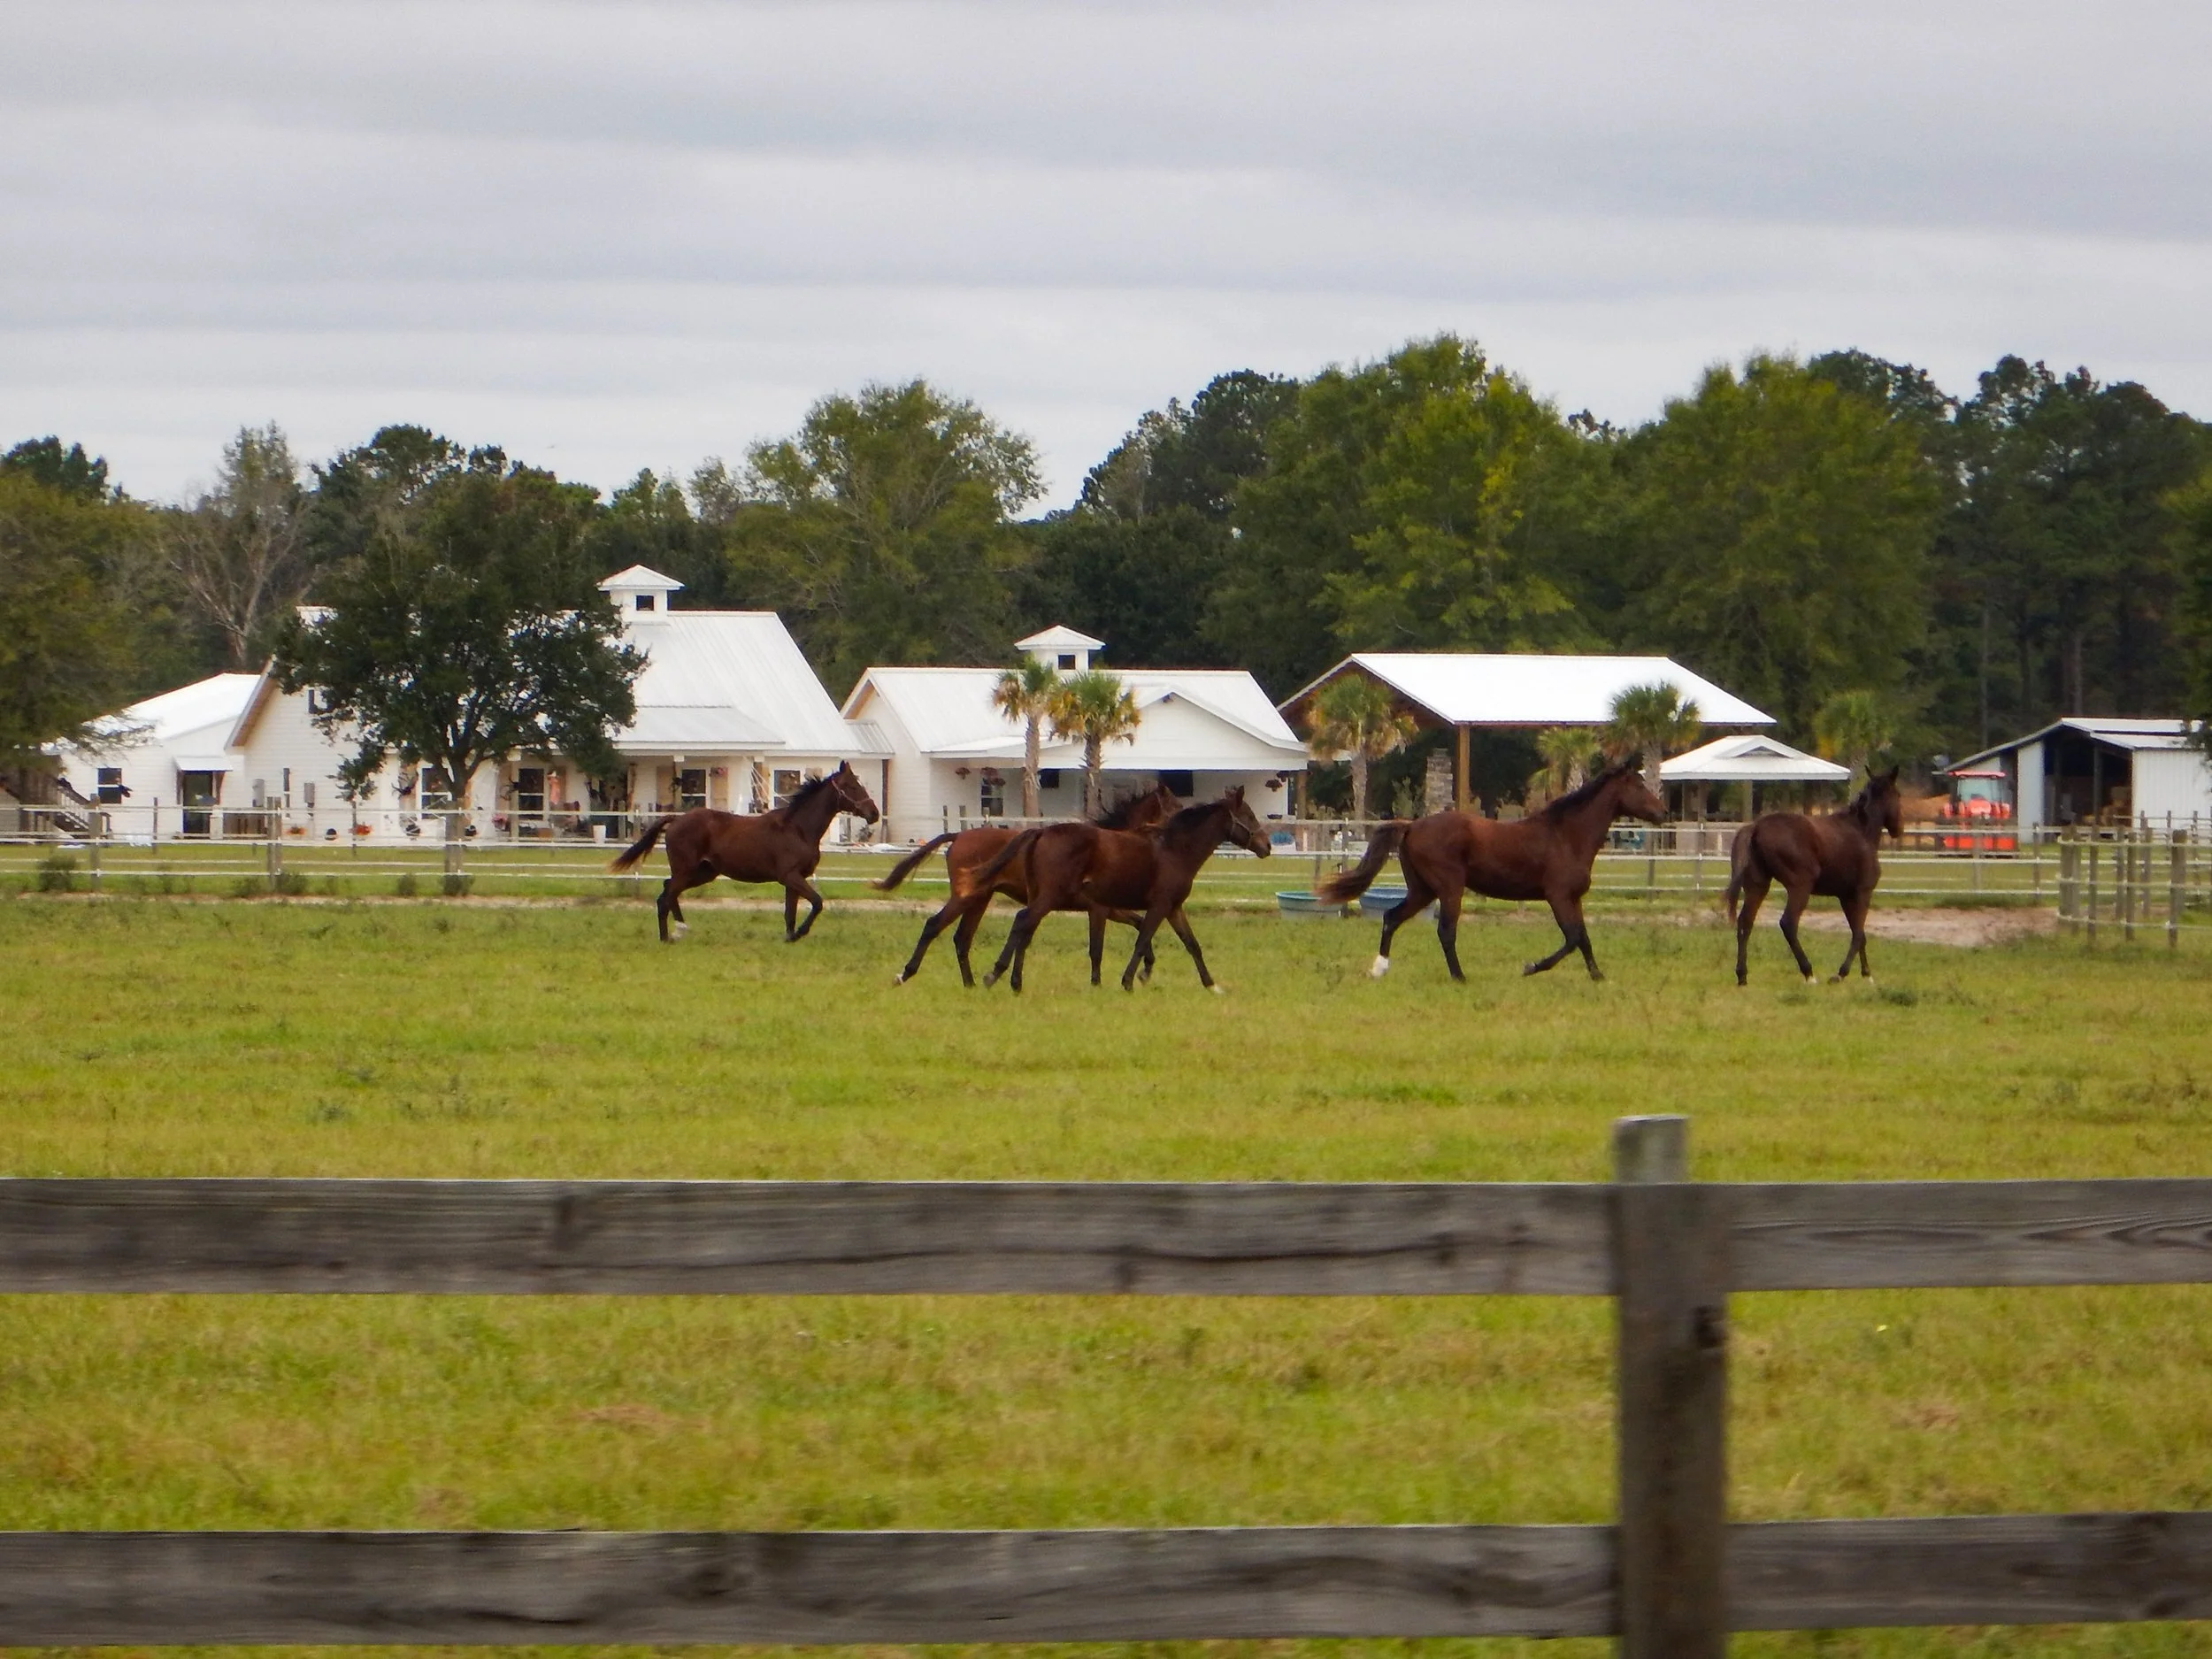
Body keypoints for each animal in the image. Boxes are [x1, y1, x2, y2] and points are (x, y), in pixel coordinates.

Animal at [607, 761, 880, 943]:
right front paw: (799, 934)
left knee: (667, 889)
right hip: (687, 871)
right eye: (850, 786)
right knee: (665, 896)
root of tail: (676, 819)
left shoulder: (793, 880)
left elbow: (790, 913)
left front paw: (789, 937)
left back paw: (679, 929)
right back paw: (668, 937)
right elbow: (817, 902)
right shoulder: (790, 876)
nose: (874, 814)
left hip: (703, 872)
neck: (798, 828)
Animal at [873, 783, 1180, 986]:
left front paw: (1146, 969)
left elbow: (1139, 924)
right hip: (966, 897)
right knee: (934, 926)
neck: (1108, 845)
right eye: (1177, 808)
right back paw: (906, 974)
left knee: (962, 938)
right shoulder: (1100, 909)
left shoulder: (1111, 909)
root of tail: (958, 835)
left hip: (980, 899)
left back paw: (971, 984)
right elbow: (1101, 945)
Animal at [976, 787, 1272, 993]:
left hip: (1042, 898)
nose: (1266, 846)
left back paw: (1013, 982)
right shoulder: (1154, 907)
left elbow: (1192, 945)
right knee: (1022, 923)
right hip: (1048, 898)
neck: (1174, 850)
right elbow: (1139, 941)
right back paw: (995, 976)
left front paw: (1211, 984)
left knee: (1024, 928)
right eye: (1248, 816)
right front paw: (1128, 981)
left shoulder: (1173, 909)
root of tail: (1041, 833)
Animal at [1318, 761, 1666, 982]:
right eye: (1638, 784)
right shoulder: (1558, 896)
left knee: (1391, 918)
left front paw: (1597, 975)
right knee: (1445, 930)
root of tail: (1412, 826)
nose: (1663, 812)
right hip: (1449, 888)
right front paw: (1530, 967)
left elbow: (1583, 938)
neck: (1566, 836)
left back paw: (1379, 969)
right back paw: (1459, 977)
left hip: (1422, 890)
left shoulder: (1574, 899)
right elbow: (1572, 939)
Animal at [1727, 768, 1903, 986]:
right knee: (1788, 923)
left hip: (1757, 886)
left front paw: (1866, 974)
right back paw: (1809, 973)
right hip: (1800, 887)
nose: (1898, 829)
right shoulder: (1863, 893)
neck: (1861, 832)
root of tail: (1756, 827)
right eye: (1898, 795)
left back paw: (1742, 976)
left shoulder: (1845, 896)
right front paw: (1841, 973)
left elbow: (1859, 933)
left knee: (1745, 922)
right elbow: (1858, 933)